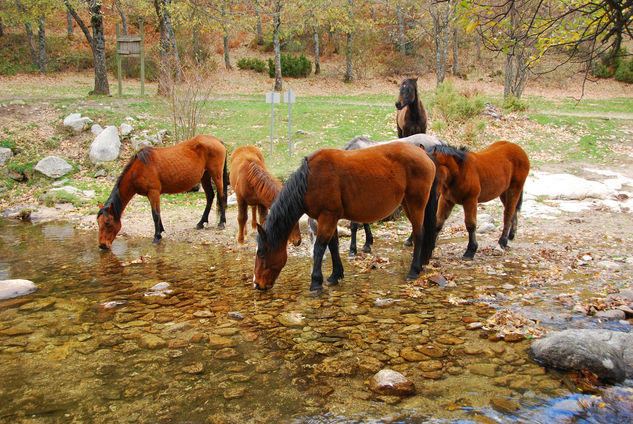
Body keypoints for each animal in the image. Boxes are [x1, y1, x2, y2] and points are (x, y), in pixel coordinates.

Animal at [96, 135, 227, 248]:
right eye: (98, 223)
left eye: (107, 223)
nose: (102, 245)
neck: (139, 169)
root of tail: (217, 140)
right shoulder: (152, 194)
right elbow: (158, 213)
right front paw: (160, 232)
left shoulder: (153, 192)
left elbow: (155, 214)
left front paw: (156, 237)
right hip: (205, 176)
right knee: (210, 196)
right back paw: (201, 223)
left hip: (216, 174)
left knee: (221, 196)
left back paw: (221, 223)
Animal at [253, 142, 440, 292]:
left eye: (261, 252)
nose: (257, 284)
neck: (310, 180)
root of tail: (424, 154)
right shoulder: (331, 218)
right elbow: (333, 245)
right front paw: (335, 275)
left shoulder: (327, 216)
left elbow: (319, 247)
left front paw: (316, 282)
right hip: (407, 204)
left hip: (416, 204)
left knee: (419, 233)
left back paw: (413, 271)